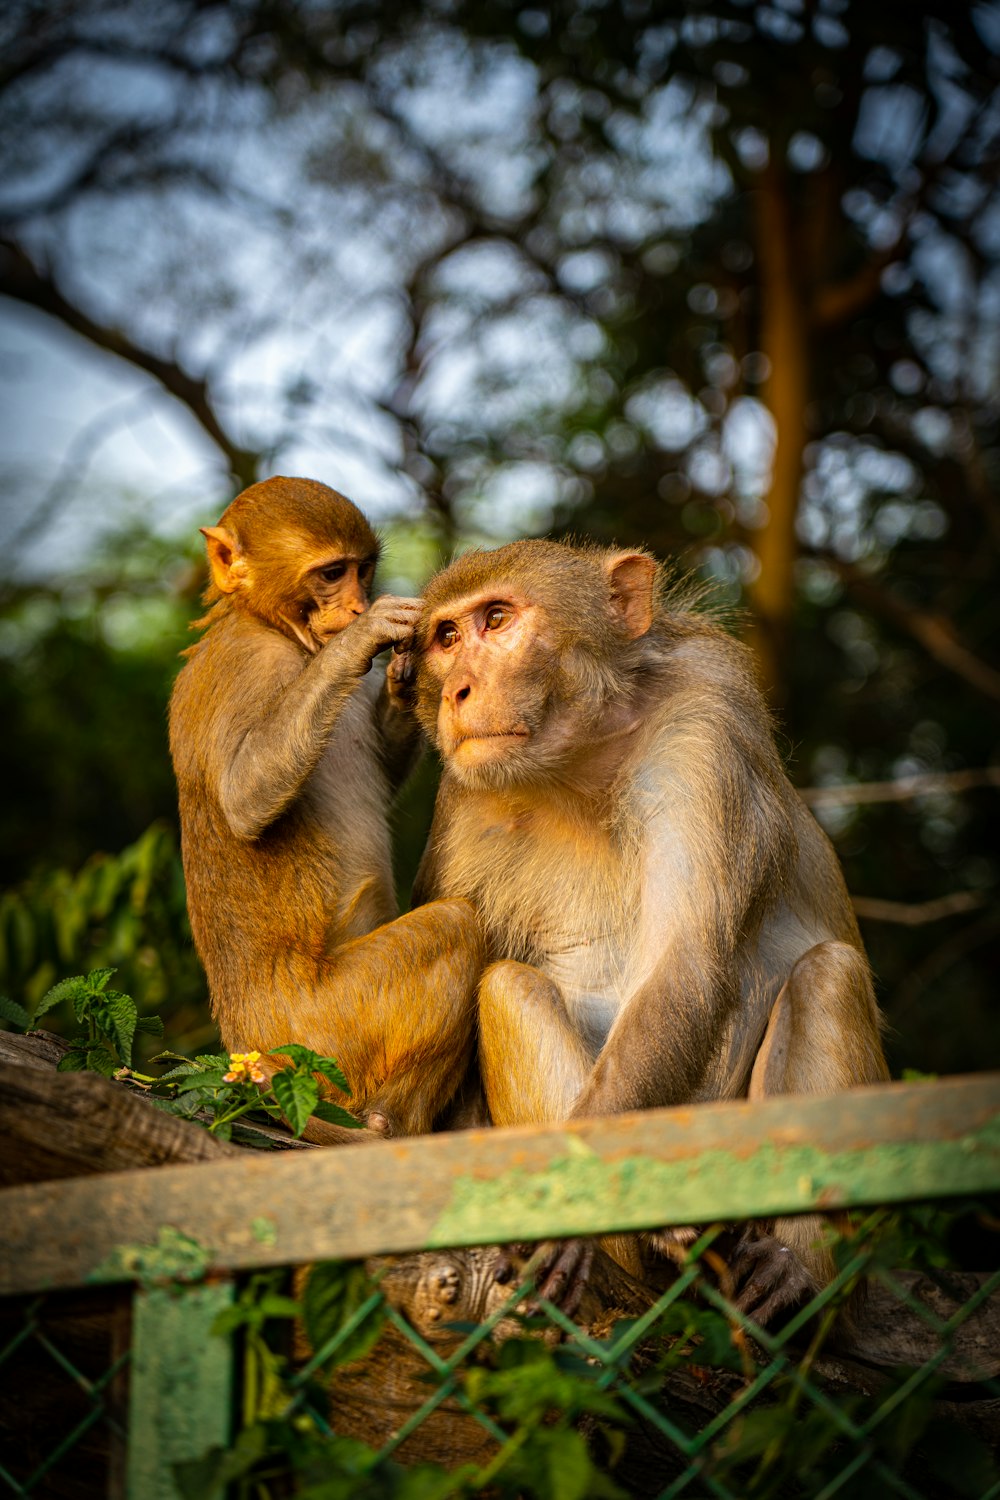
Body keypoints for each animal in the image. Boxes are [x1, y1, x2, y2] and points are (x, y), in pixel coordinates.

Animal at [170, 477, 482, 1134]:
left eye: (364, 570)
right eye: (333, 573)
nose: (360, 605)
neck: (269, 627)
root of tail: (245, 1047)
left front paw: (401, 668)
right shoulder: (247, 667)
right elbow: (245, 798)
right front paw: (362, 643)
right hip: (321, 1039)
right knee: (456, 928)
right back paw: (386, 1127)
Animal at [410, 540, 887, 1326]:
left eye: (497, 619)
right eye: (446, 637)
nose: (458, 693)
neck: (577, 767)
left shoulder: (703, 727)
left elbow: (684, 964)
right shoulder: (462, 796)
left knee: (830, 974)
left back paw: (795, 1274)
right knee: (509, 986)